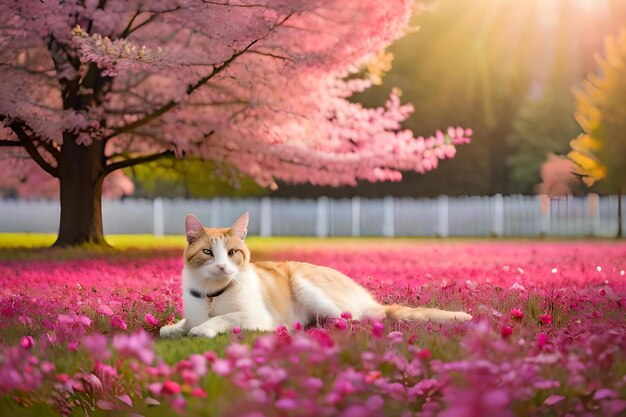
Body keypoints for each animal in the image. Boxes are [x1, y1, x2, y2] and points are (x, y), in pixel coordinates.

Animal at [158, 211, 470, 338]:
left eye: (233, 252)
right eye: (208, 253)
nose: (223, 267)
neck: (212, 293)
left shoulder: (257, 318)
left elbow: (223, 318)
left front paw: (203, 329)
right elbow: (171, 327)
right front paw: (176, 328)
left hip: (304, 282)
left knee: (354, 321)